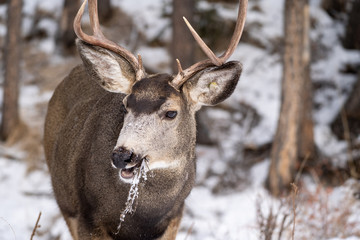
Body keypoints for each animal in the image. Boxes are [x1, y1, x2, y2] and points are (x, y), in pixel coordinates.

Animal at [43, 0, 248, 239]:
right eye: (125, 105)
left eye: (171, 113)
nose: (122, 155)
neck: (142, 218)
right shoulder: (86, 216)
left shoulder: (175, 218)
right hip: (64, 200)